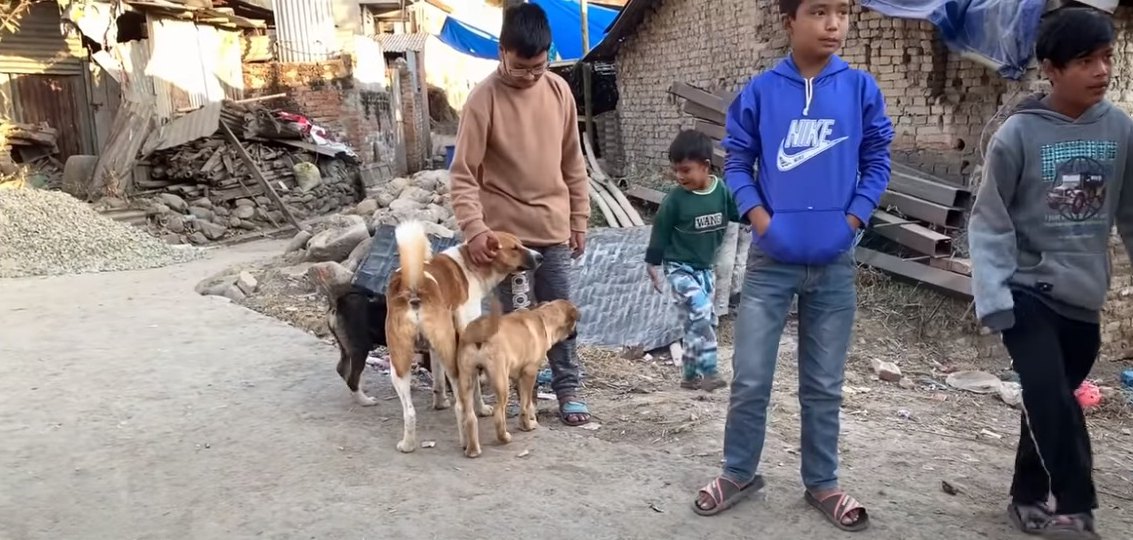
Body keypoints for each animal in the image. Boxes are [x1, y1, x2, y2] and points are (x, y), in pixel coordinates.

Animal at [382, 220, 541, 452]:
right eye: (514, 248)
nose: (540, 256)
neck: (470, 263)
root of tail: (413, 287)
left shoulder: (435, 347)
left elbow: (437, 379)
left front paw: (439, 402)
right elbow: (476, 387)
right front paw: (482, 409)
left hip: (399, 363)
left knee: (409, 411)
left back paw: (408, 444)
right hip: (453, 362)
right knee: (461, 406)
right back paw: (467, 441)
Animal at [455, 296, 580, 457]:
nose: (576, 334)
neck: (542, 318)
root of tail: (479, 331)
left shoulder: (517, 376)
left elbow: (526, 403)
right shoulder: (530, 373)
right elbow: (525, 404)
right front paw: (527, 425)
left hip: (466, 378)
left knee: (470, 417)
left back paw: (472, 450)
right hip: (500, 382)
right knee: (498, 414)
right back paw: (504, 438)